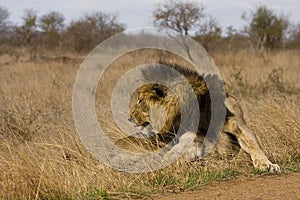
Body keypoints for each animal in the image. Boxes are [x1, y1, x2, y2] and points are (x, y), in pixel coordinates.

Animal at [115, 61, 282, 173]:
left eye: (140, 101)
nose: (129, 118)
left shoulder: (237, 124)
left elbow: (253, 144)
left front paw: (267, 164)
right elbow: (178, 151)